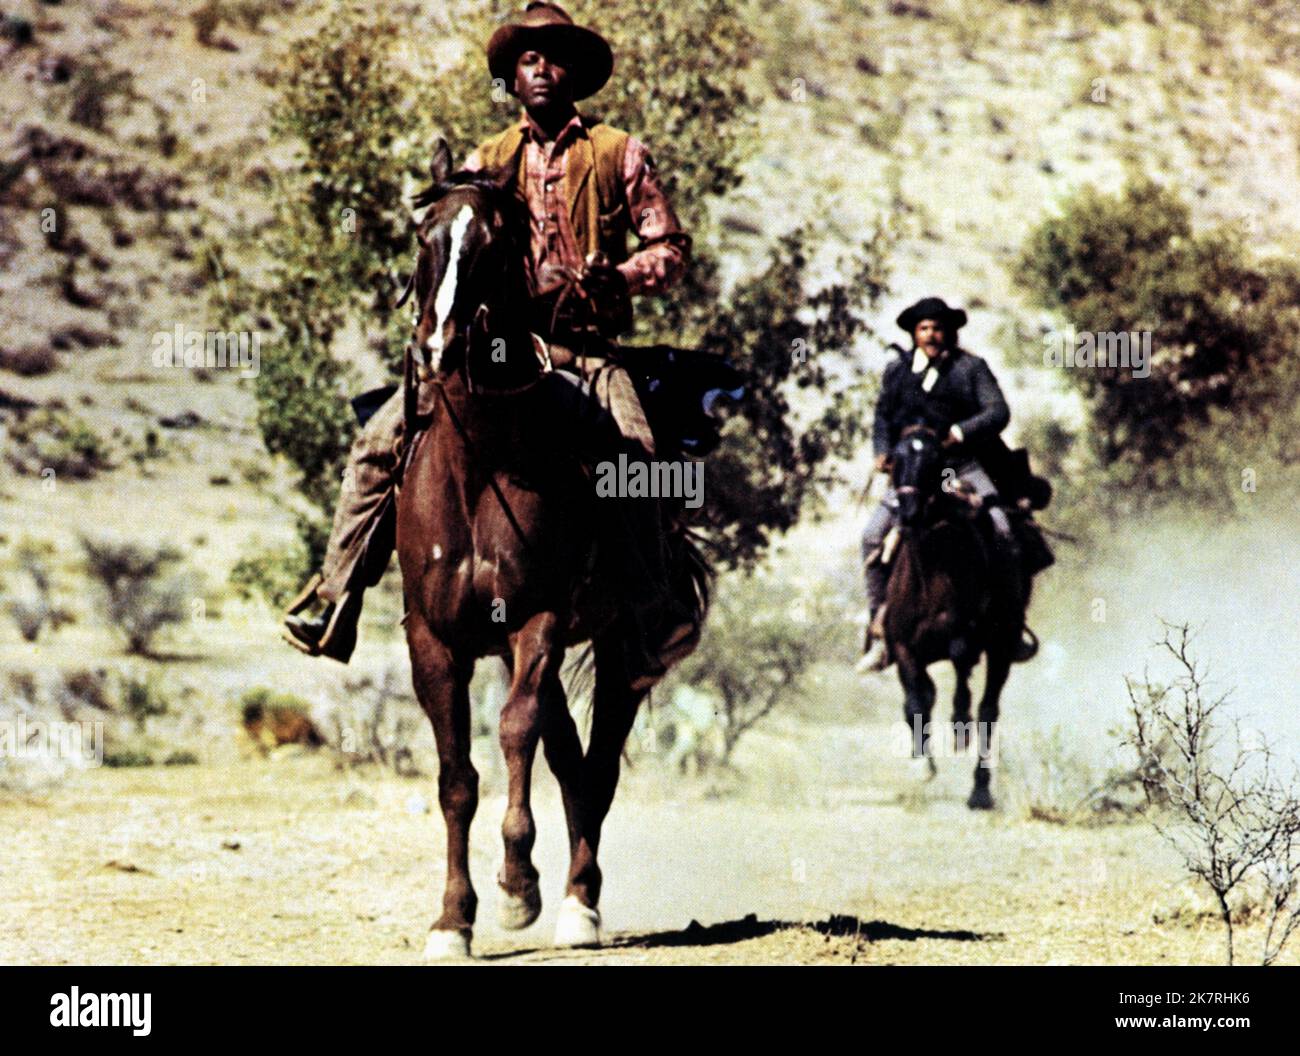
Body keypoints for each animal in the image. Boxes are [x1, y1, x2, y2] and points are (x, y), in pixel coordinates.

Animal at [400, 144, 717, 962]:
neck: (480, 466)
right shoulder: (434, 638)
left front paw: (516, 887)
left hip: (619, 644)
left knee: (594, 765)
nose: (439, 347)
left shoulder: (537, 619)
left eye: (495, 244)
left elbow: (514, 731)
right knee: (570, 757)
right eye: (424, 236)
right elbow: (456, 775)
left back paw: (579, 904)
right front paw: (452, 919)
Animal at [878, 423, 1029, 811]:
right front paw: (922, 766)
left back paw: (980, 790)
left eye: (935, 461)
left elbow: (961, 657)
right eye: (895, 459)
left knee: (988, 711)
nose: (908, 512)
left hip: (1002, 650)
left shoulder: (971, 634)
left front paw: (959, 717)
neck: (931, 569)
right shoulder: (903, 647)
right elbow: (916, 701)